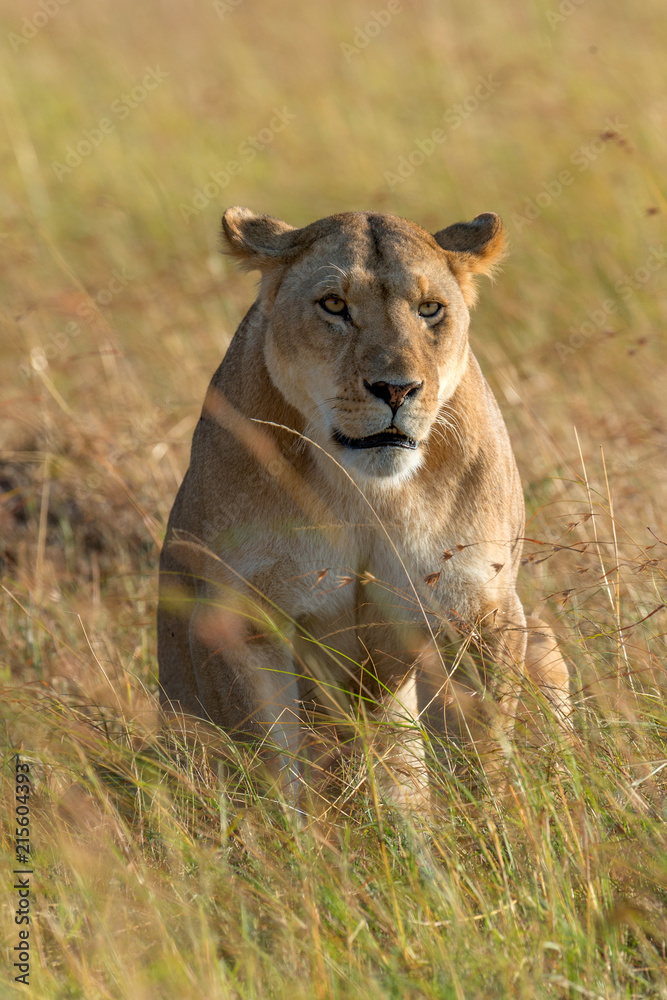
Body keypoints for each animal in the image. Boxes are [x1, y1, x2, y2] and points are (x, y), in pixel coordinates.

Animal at [158, 207, 571, 803]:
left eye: (430, 309)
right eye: (334, 305)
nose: (396, 390)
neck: (364, 491)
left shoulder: (480, 609)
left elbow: (484, 760)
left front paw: (497, 827)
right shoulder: (241, 619)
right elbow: (270, 768)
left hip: (540, 642)